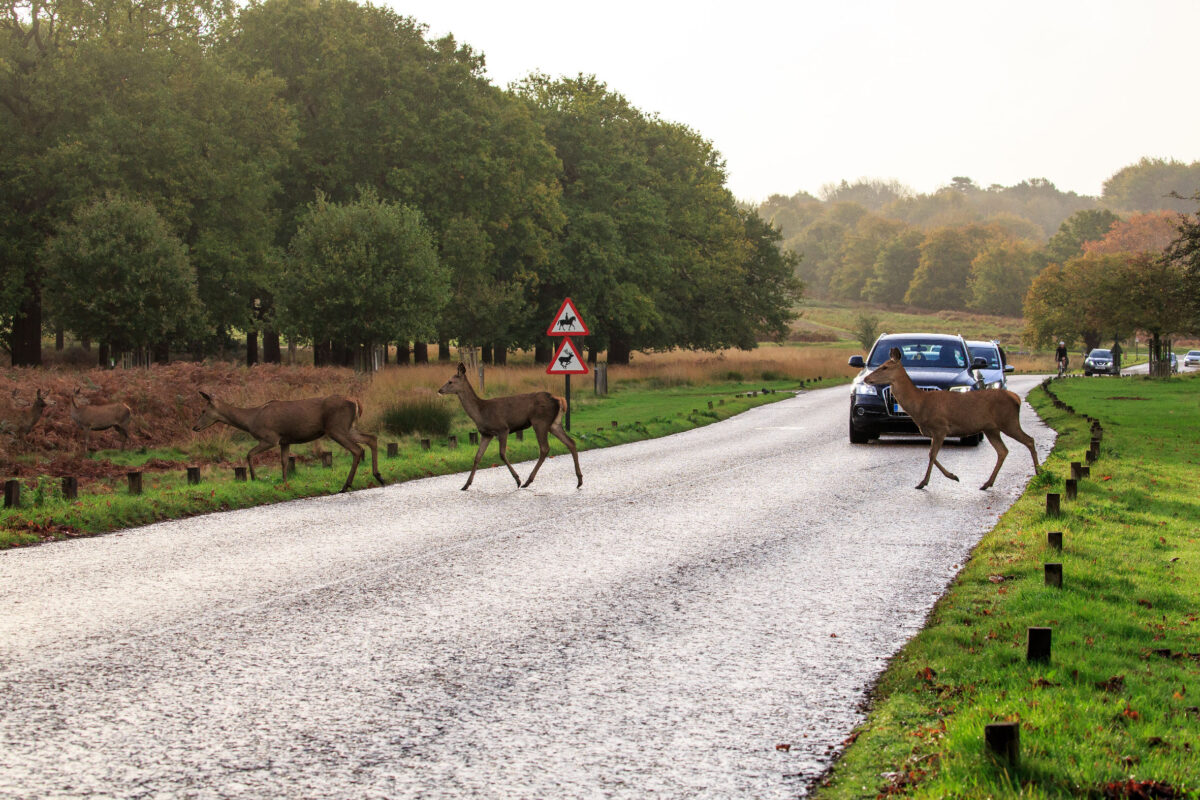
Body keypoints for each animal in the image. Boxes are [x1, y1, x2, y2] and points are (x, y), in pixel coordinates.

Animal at [192, 392, 383, 493]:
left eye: (203, 410)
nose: (195, 427)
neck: (251, 420)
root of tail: (356, 402)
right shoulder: (285, 440)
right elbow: (284, 462)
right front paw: (285, 484)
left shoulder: (270, 437)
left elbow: (249, 453)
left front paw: (254, 478)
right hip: (348, 427)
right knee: (371, 439)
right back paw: (378, 476)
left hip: (336, 428)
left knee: (357, 449)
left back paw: (346, 485)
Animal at [437, 362, 582, 491]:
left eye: (450, 381)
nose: (439, 390)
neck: (481, 412)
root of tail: (560, 400)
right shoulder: (486, 434)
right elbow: (477, 457)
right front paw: (466, 485)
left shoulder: (502, 428)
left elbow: (502, 454)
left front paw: (517, 479)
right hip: (554, 424)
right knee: (571, 442)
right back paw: (579, 480)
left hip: (540, 421)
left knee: (545, 448)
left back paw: (527, 481)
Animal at [863, 347, 1039, 490]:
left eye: (885, 367)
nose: (866, 379)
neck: (920, 404)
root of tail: (1016, 398)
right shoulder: (934, 432)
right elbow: (931, 454)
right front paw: (946, 477)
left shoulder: (940, 427)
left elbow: (931, 455)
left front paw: (928, 481)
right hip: (991, 428)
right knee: (1003, 450)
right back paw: (987, 483)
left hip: (1008, 421)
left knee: (1029, 440)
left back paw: (1038, 472)